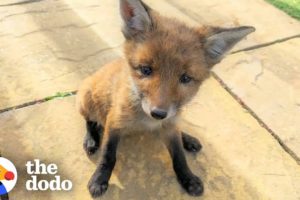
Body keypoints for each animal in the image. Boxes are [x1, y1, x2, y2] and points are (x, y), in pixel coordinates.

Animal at [76, 0, 254, 197]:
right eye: (145, 70)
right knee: (90, 121)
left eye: (185, 78)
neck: (145, 122)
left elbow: (179, 156)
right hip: (86, 101)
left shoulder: (170, 127)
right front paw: (99, 179)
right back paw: (91, 139)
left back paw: (188, 138)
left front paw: (188, 178)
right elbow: (108, 156)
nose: (158, 114)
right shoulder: (114, 122)